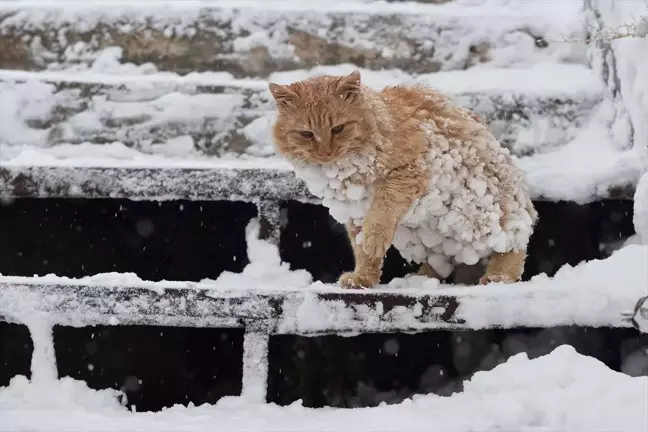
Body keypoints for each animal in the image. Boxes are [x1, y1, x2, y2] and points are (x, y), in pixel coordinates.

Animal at [268, 71, 536, 288]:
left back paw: (499, 277)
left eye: (338, 129)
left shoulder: (407, 174)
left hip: (482, 216)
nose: (324, 152)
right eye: (306, 134)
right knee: (443, 262)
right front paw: (363, 279)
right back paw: (419, 279)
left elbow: (381, 215)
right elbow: (362, 252)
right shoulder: (355, 211)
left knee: (514, 245)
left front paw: (374, 241)